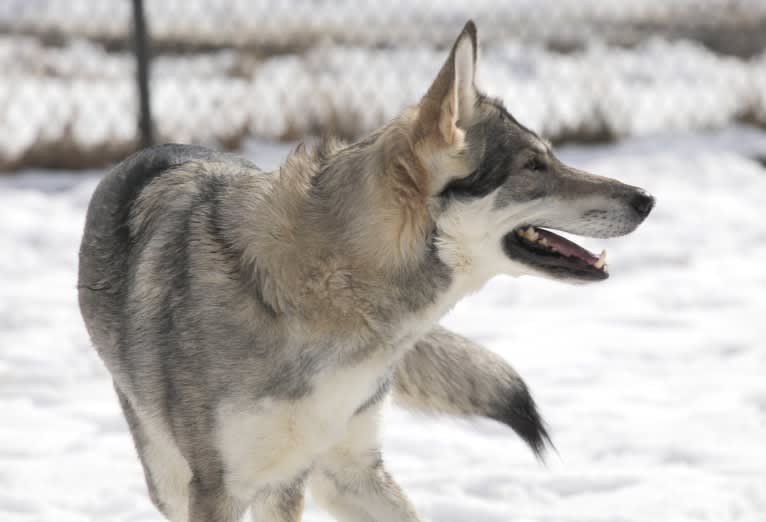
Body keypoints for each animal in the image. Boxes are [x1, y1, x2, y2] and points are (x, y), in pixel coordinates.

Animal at [78, 20, 656, 520]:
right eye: (535, 166)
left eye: (552, 157)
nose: (647, 199)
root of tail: (152, 149)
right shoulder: (223, 488)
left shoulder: (339, 473)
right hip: (172, 478)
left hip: (312, 478)